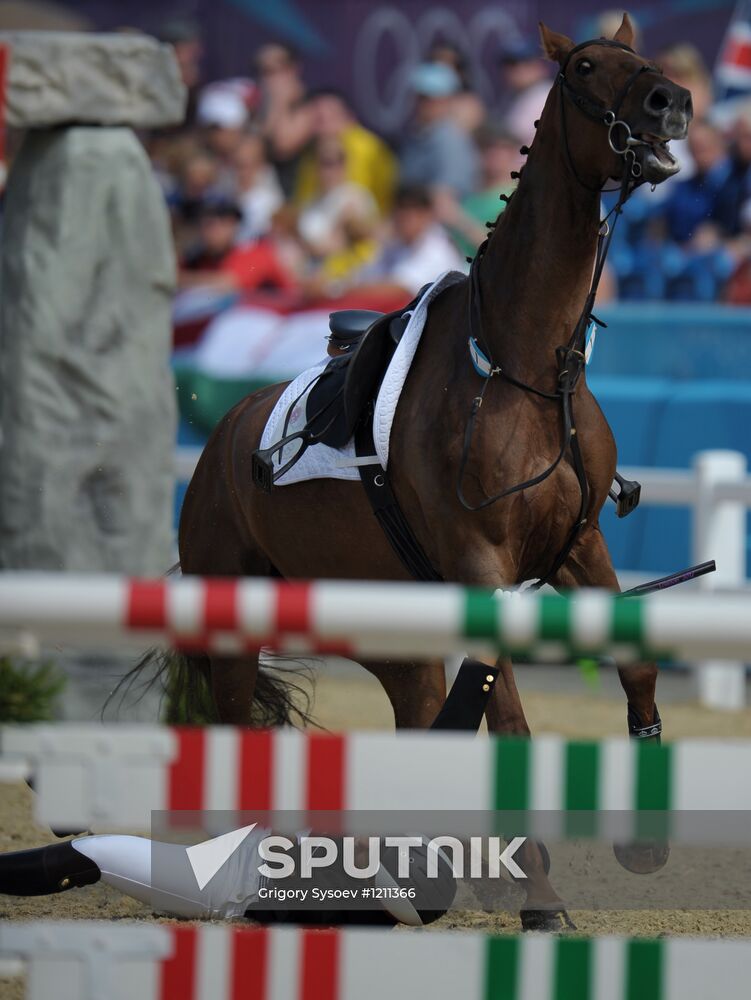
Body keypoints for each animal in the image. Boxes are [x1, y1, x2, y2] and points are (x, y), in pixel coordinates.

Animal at [170, 13, 692, 928]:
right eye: (585, 65)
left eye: (644, 56)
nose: (670, 102)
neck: (520, 368)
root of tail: (222, 437)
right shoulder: (484, 566)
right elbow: (511, 724)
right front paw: (540, 900)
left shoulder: (579, 545)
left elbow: (632, 665)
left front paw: (639, 842)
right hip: (231, 619)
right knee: (234, 725)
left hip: (389, 631)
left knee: (415, 711)